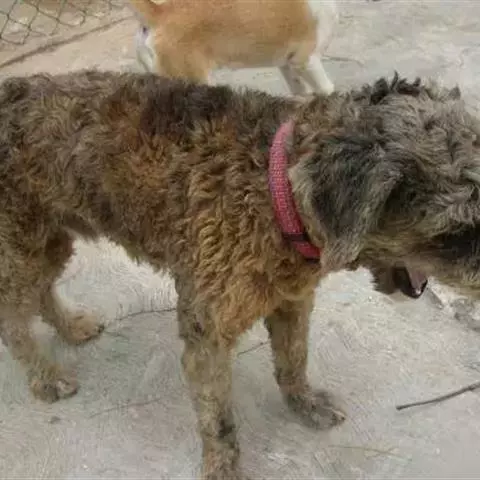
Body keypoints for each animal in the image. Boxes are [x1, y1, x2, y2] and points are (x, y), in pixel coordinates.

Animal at [0, 70, 478, 479]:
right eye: (456, 232)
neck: (276, 190)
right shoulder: (207, 335)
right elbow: (219, 420)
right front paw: (223, 467)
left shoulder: (292, 301)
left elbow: (294, 361)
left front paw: (304, 403)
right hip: (22, 247)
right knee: (13, 320)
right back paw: (45, 376)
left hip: (48, 241)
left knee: (41, 290)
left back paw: (70, 326)